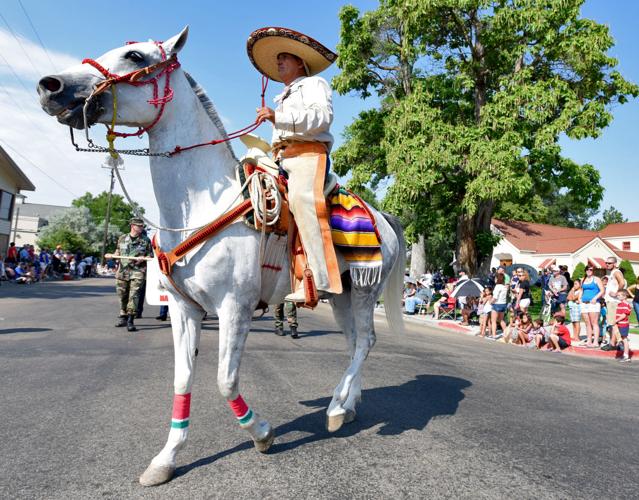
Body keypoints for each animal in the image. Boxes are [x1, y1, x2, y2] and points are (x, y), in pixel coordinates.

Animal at [37, 27, 402, 484]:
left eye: (135, 56)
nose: (51, 86)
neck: (200, 208)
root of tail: (383, 218)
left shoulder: (234, 308)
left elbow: (225, 381)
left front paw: (261, 433)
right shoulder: (183, 309)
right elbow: (182, 380)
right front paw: (165, 460)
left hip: (365, 293)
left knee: (366, 341)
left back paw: (336, 408)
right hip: (341, 296)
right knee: (355, 343)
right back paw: (347, 404)